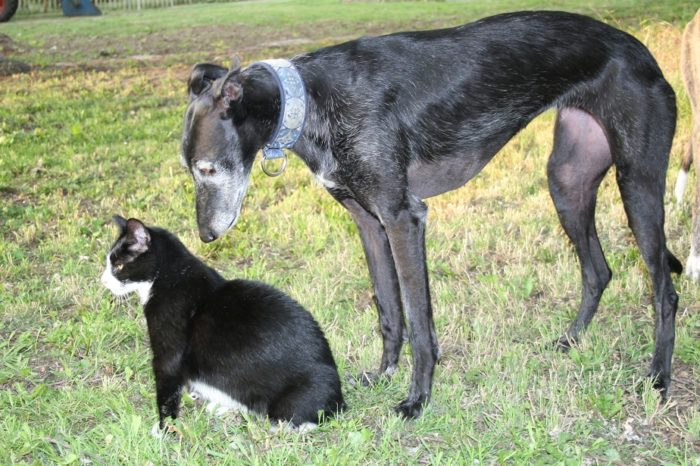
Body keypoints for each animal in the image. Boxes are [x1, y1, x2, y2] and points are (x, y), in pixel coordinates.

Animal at [100, 215, 345, 433]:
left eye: (119, 266)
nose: (102, 280)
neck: (168, 277)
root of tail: (340, 399)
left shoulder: (168, 354)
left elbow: (167, 391)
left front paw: (164, 429)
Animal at [180, 11, 682, 418]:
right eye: (191, 169)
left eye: (207, 167)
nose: (206, 236)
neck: (309, 99)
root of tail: (639, 50)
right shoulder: (368, 221)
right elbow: (389, 309)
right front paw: (383, 374)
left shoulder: (403, 216)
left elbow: (420, 321)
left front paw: (417, 399)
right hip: (568, 182)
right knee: (597, 270)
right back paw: (570, 340)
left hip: (637, 182)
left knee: (665, 290)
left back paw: (658, 377)